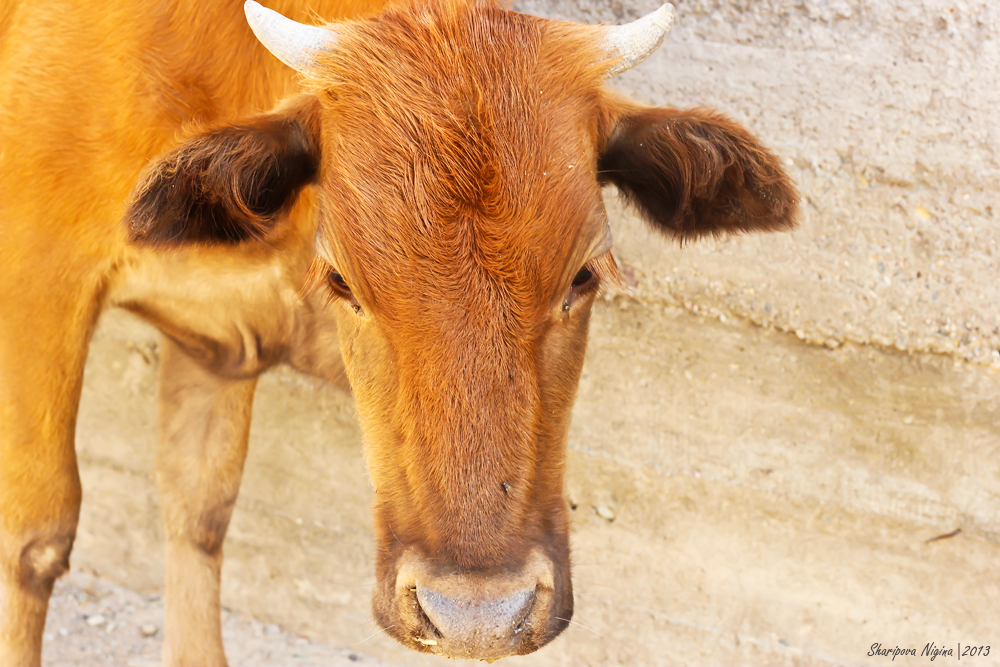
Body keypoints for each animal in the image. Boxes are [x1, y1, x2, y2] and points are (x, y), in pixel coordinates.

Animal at [0, 0, 796, 664]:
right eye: (343, 280)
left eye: (582, 276)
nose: (477, 616)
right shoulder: (36, 276)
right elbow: (34, 533)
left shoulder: (216, 340)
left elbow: (199, 511)